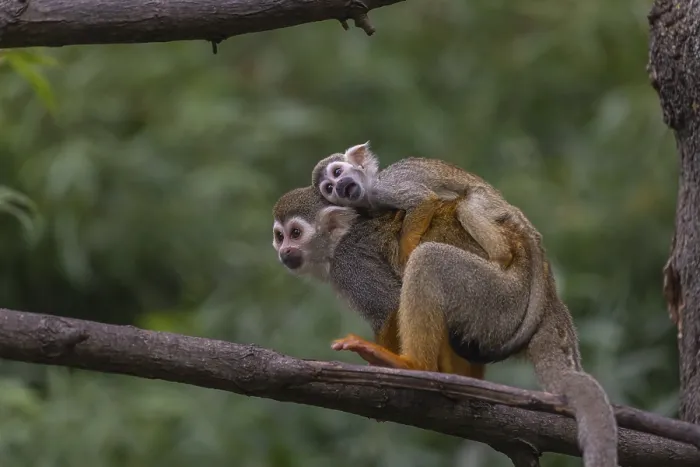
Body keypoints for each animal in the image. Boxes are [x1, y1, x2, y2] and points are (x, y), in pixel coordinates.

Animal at [274, 143, 618, 467]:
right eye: (279, 237)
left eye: (295, 234)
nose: (283, 253)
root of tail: (550, 303)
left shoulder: (350, 265)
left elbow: (389, 305)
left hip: (497, 297)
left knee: (429, 259)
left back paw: (412, 365)